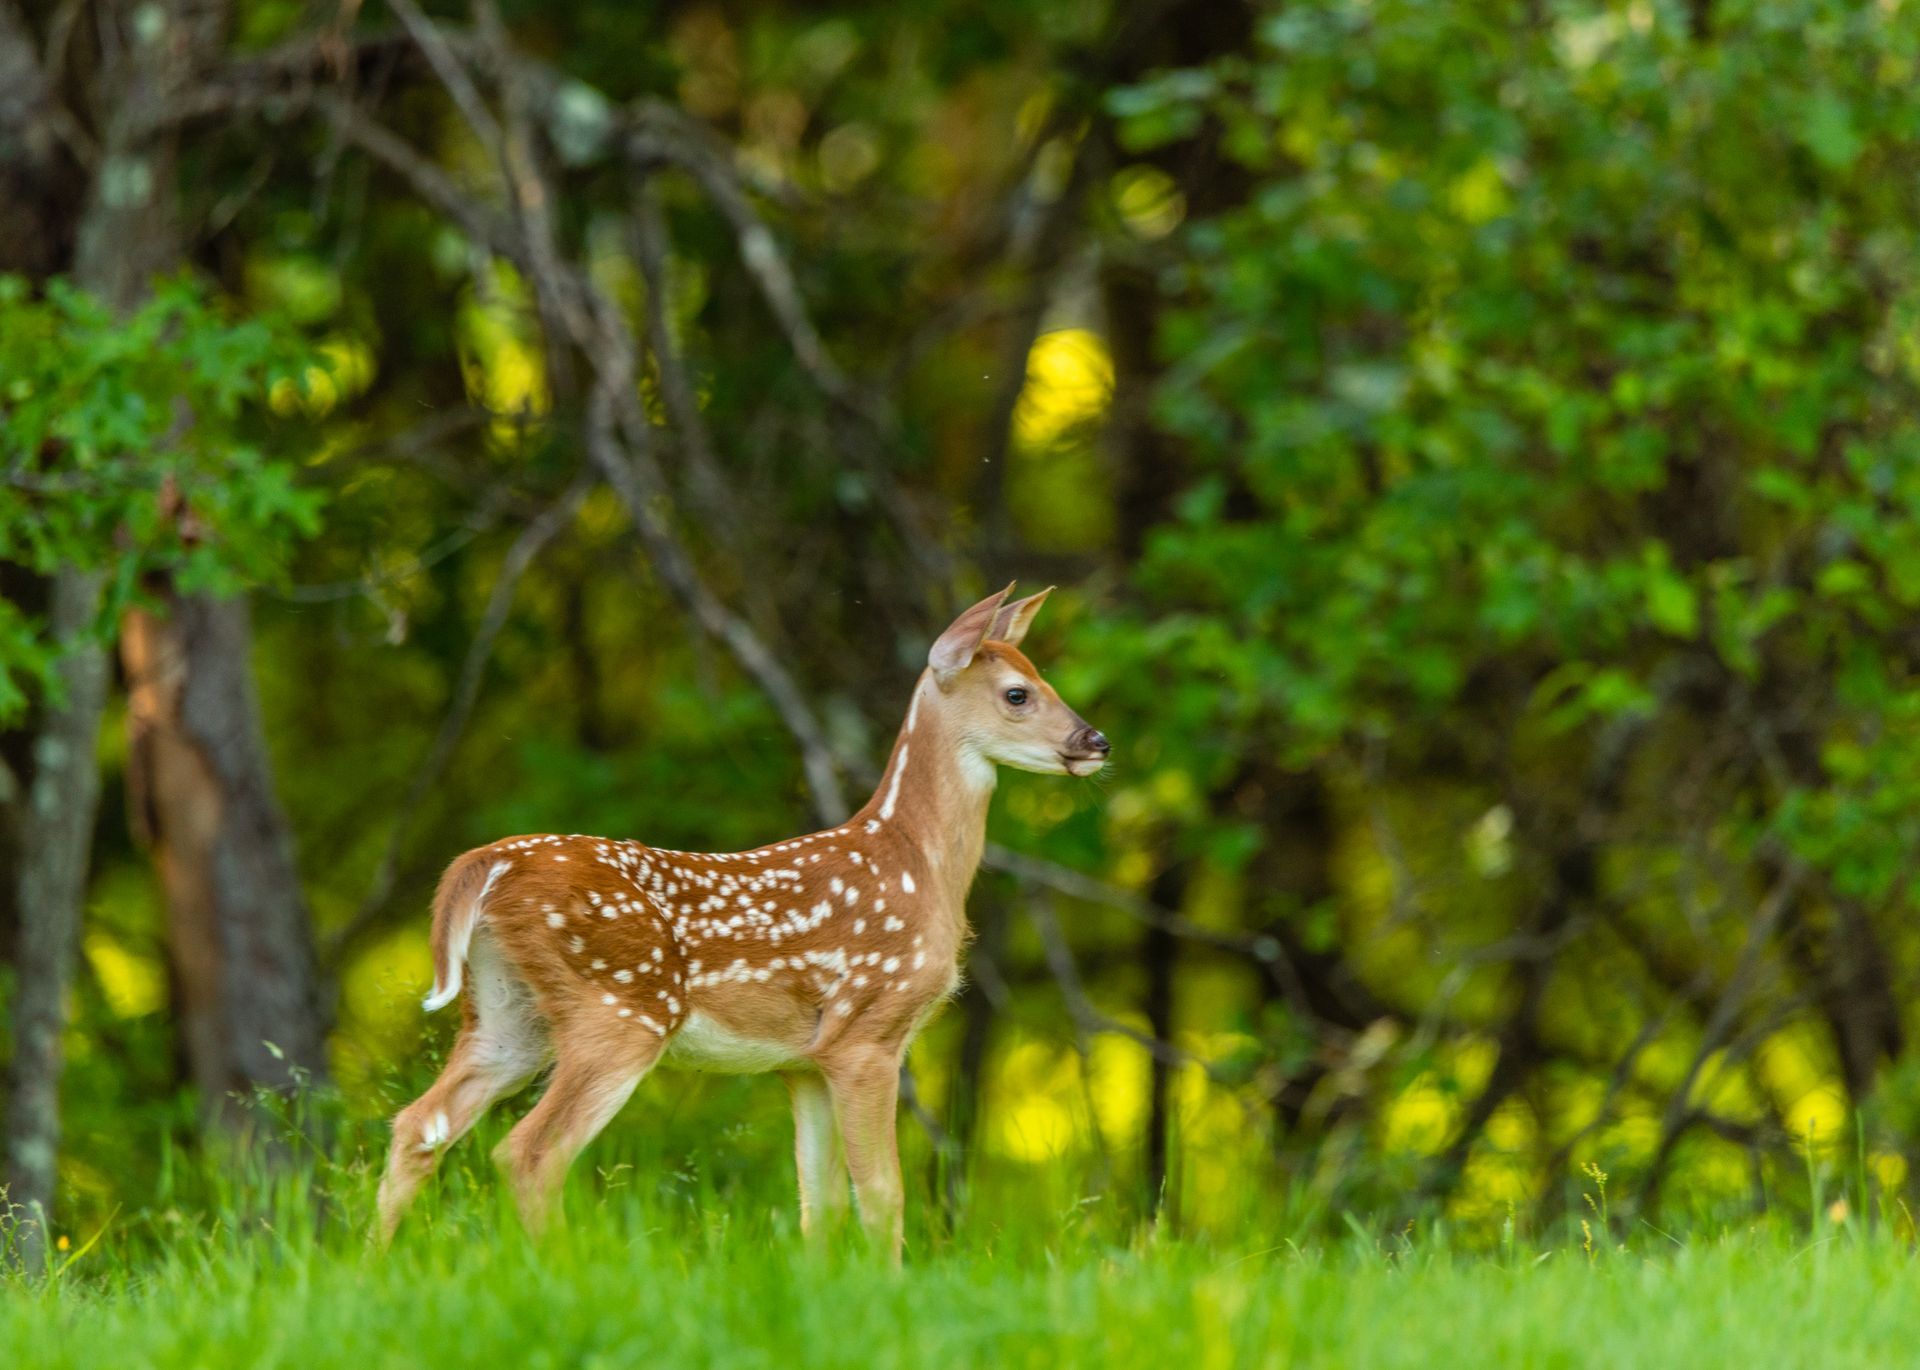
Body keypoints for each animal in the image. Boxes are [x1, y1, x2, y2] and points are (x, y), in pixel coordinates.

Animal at [374, 584, 1108, 1260]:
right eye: (1018, 693)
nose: (1095, 741)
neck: (915, 862)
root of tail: (484, 864)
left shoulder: (804, 1061)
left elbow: (819, 1200)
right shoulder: (866, 1033)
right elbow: (881, 1192)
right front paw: (892, 1286)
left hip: (507, 1013)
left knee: (418, 1125)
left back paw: (375, 1264)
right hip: (620, 1008)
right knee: (527, 1152)